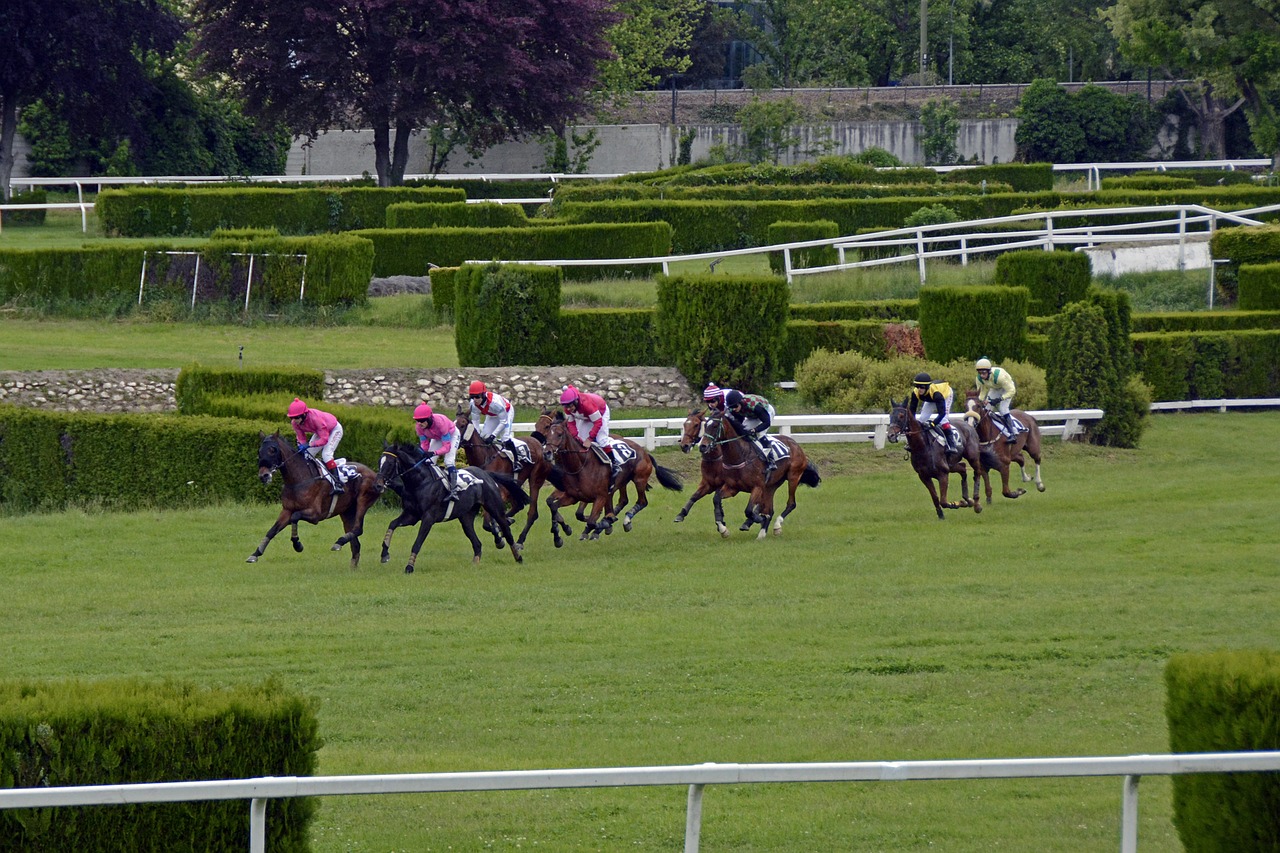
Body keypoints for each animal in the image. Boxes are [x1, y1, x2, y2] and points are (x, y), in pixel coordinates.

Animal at [245, 432, 378, 563]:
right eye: (259, 451)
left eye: (272, 450)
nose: (264, 476)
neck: (298, 480)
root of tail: (375, 474)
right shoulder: (287, 510)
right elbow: (272, 530)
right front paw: (255, 554)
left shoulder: (315, 514)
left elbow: (295, 517)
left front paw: (297, 545)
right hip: (347, 511)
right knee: (355, 544)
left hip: (363, 501)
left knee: (358, 529)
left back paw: (339, 542)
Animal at [373, 440, 527, 573]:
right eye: (380, 461)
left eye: (390, 463)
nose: (378, 485)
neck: (420, 483)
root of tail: (486, 474)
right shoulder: (412, 515)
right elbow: (392, 525)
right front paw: (384, 554)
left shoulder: (428, 518)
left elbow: (417, 543)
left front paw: (409, 567)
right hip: (466, 517)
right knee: (477, 543)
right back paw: (475, 564)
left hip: (494, 507)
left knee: (506, 531)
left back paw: (518, 557)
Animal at [455, 409, 565, 548]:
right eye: (453, 423)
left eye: (462, 425)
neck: (486, 458)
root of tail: (540, 445)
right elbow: (488, 523)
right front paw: (499, 532)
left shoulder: (499, 492)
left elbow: (487, 522)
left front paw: (499, 536)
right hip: (515, 484)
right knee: (518, 505)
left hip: (535, 480)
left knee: (532, 513)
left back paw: (521, 540)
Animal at [537, 409, 686, 540]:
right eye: (547, 432)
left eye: (559, 434)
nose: (546, 452)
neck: (580, 466)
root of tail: (645, 452)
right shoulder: (572, 495)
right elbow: (554, 506)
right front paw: (565, 529)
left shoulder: (599, 496)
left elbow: (591, 520)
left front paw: (601, 525)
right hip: (621, 483)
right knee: (623, 500)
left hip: (639, 479)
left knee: (642, 501)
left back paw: (624, 520)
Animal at [686, 407, 824, 537]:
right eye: (704, 426)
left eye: (715, 426)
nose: (703, 446)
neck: (741, 456)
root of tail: (795, 444)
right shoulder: (733, 487)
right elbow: (716, 499)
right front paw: (722, 527)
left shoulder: (757, 487)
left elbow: (748, 510)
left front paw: (757, 519)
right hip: (771, 486)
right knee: (769, 509)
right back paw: (761, 534)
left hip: (793, 477)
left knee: (791, 504)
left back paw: (776, 526)